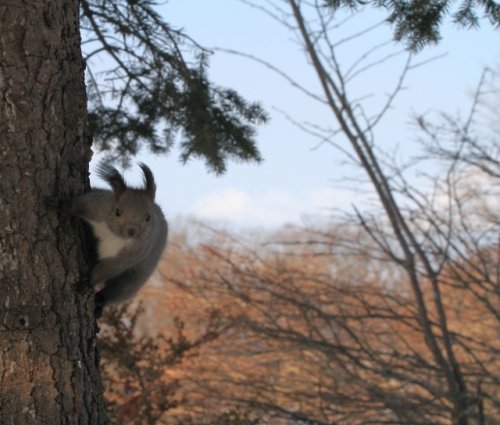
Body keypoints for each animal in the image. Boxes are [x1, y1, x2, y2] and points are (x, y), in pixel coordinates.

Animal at [49, 161, 169, 316]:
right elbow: (79, 205)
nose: (131, 231)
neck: (115, 236)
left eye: (148, 217)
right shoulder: (97, 206)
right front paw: (62, 205)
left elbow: (108, 269)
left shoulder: (132, 253)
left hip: (136, 277)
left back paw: (100, 302)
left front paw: (88, 282)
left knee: (118, 290)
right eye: (117, 211)